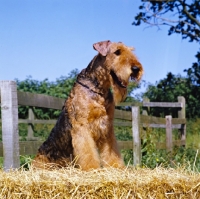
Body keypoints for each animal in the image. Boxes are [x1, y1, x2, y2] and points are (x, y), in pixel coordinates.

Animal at [32, 40, 143, 171]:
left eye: (131, 51)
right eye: (117, 52)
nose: (136, 69)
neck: (99, 90)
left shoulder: (107, 128)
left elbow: (111, 153)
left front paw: (116, 167)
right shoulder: (82, 126)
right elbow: (87, 152)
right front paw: (92, 169)